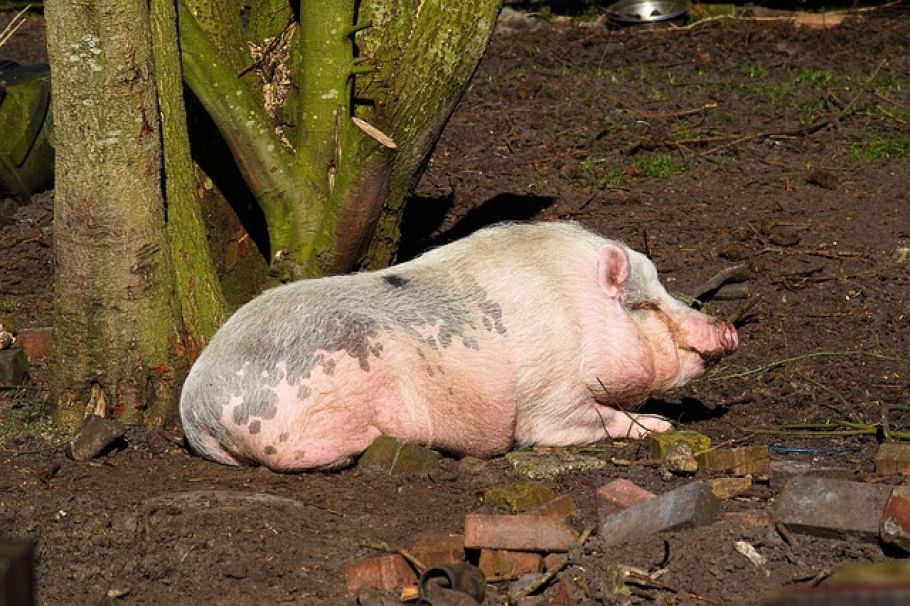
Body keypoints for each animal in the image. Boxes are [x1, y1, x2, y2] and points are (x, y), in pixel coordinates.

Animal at [180, 222, 738, 472]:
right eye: (643, 305)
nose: (727, 328)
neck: (578, 313)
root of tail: (196, 407)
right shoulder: (549, 404)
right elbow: (584, 421)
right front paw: (661, 425)